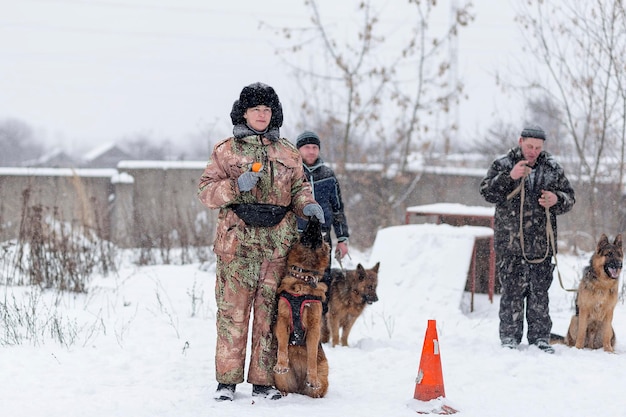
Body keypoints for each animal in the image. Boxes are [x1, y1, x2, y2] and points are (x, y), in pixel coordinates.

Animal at [272, 218, 332, 396]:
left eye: (320, 235)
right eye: (304, 231)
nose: (315, 217)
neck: (303, 279)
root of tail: (299, 387)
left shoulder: (313, 328)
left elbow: (311, 356)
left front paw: (312, 378)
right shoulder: (283, 320)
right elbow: (283, 347)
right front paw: (281, 365)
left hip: (324, 376)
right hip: (279, 379)